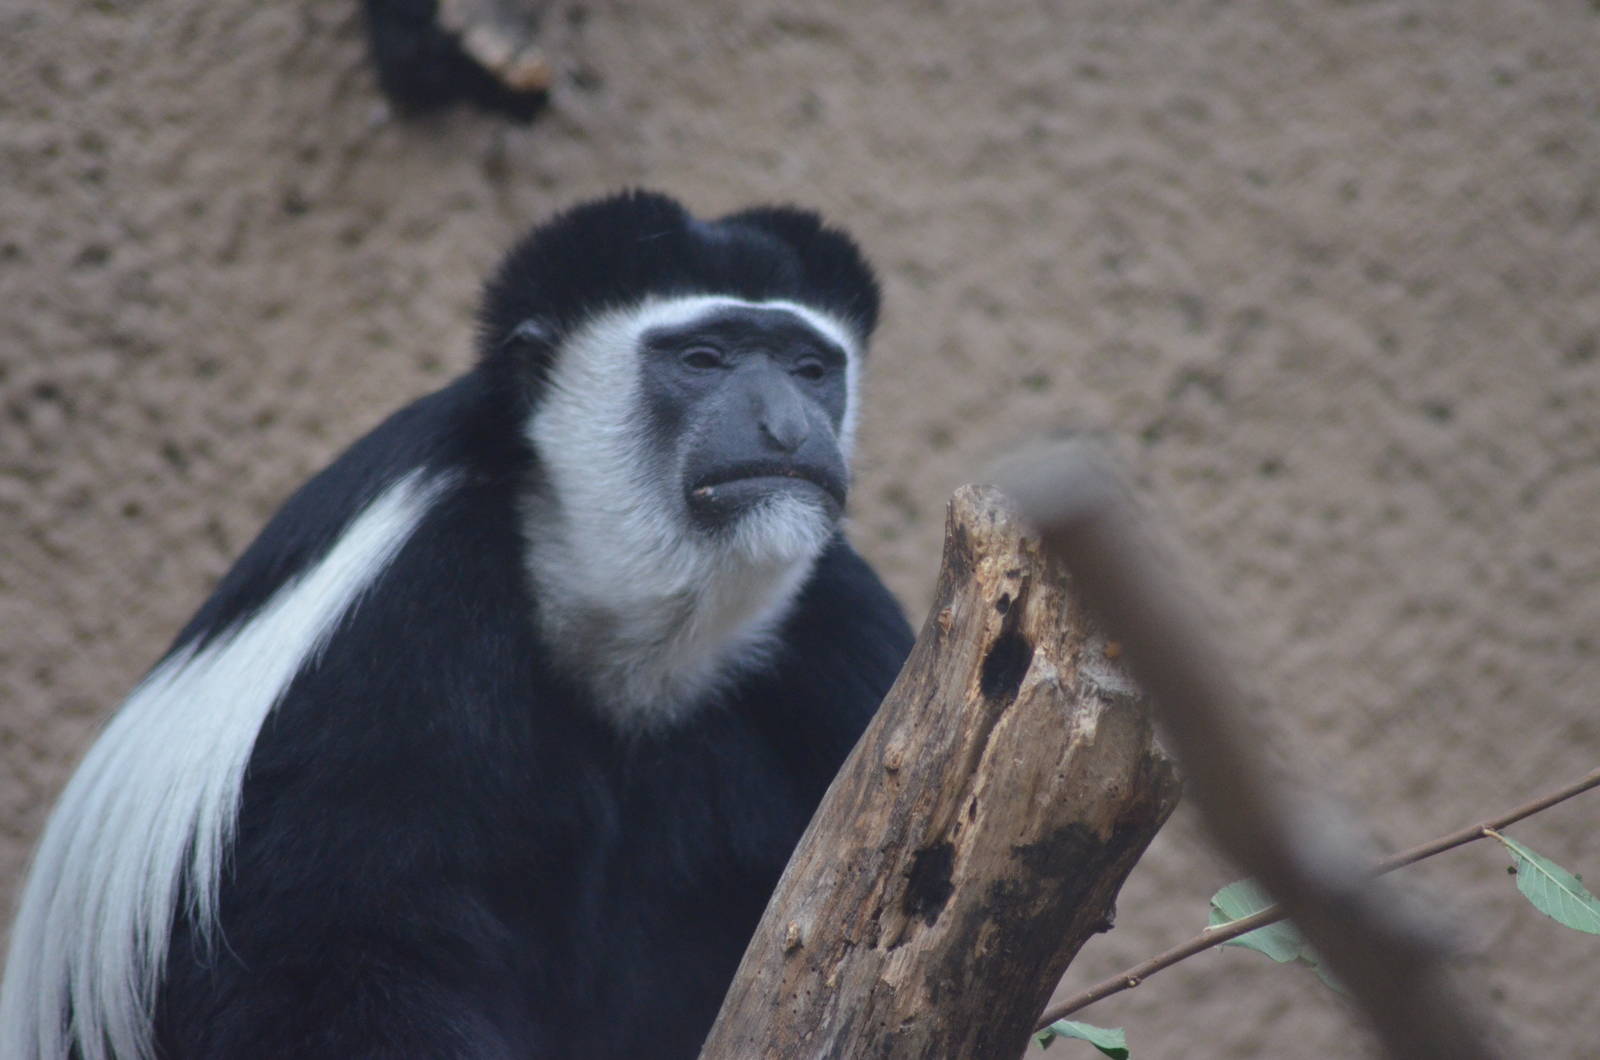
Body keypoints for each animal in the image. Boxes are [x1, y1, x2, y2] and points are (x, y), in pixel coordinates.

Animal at [0, 190, 913, 1059]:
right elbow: (331, 949)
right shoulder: (399, 619)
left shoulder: (844, 618)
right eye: (702, 360)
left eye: (810, 368)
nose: (787, 429)